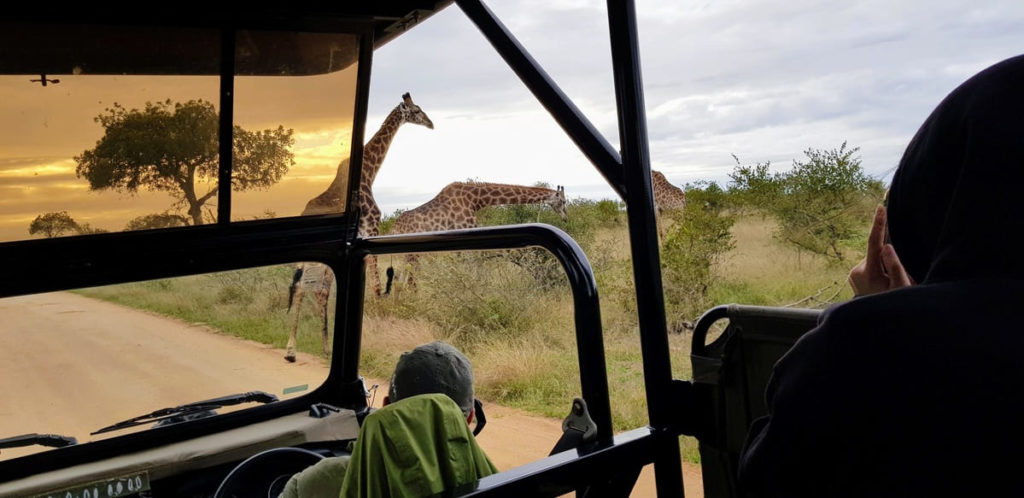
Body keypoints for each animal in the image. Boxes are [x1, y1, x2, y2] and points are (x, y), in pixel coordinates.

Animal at [284, 92, 436, 362]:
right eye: (417, 110)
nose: (431, 123)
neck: (368, 171)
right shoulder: (371, 227)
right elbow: (375, 283)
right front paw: (382, 320)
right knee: (304, 289)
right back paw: (291, 349)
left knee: (318, 291)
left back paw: (325, 348)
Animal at [382, 182, 565, 295]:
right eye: (563, 201)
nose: (565, 217)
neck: (476, 199)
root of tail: (393, 229)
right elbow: (474, 271)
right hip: (411, 254)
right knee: (406, 281)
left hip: (406, 255)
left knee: (400, 280)